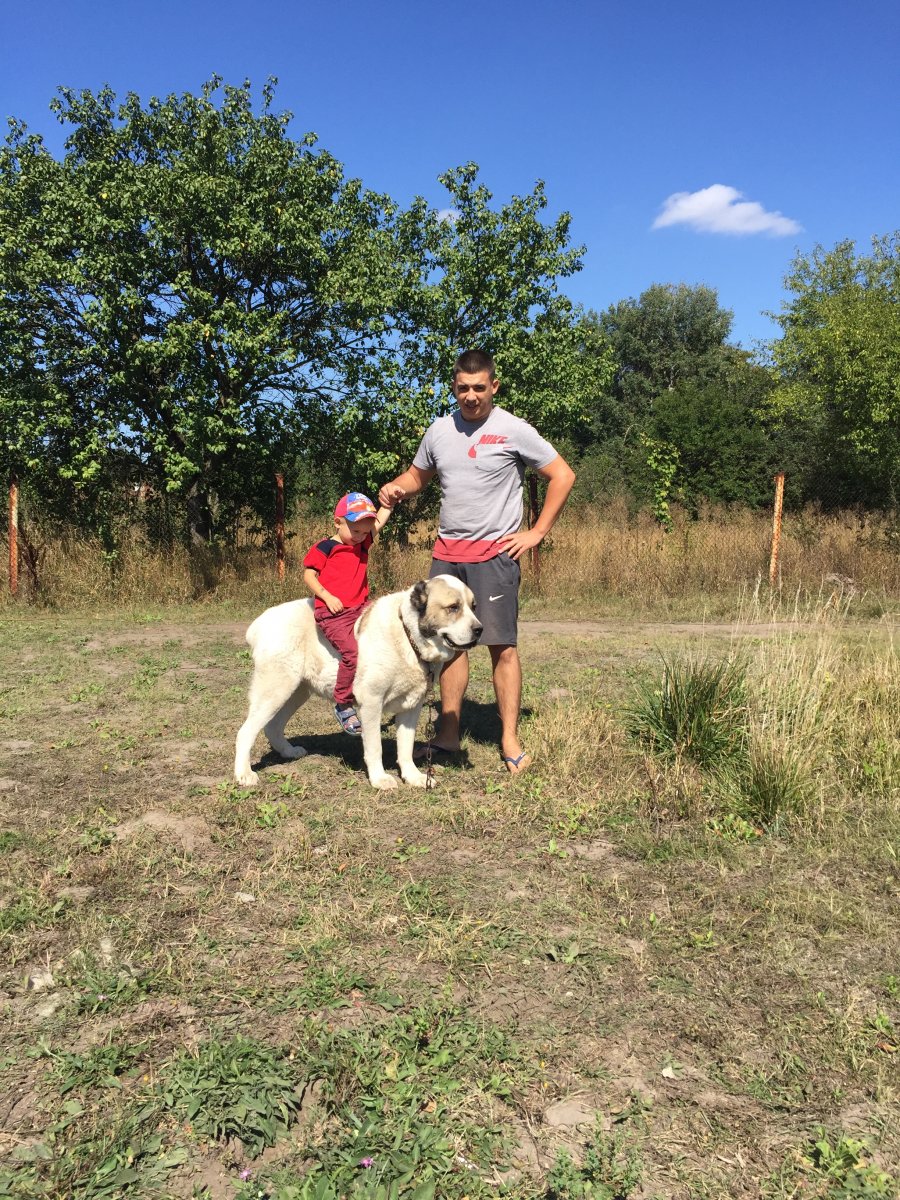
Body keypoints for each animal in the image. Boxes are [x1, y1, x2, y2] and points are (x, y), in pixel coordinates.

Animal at [234, 575, 482, 790]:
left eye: (473, 606)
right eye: (453, 607)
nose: (479, 629)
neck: (408, 635)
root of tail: (260, 623)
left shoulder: (412, 707)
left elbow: (406, 747)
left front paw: (413, 777)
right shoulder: (371, 702)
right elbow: (375, 746)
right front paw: (380, 779)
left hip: (296, 692)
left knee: (272, 726)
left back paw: (288, 752)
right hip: (276, 689)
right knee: (245, 732)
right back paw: (244, 774)